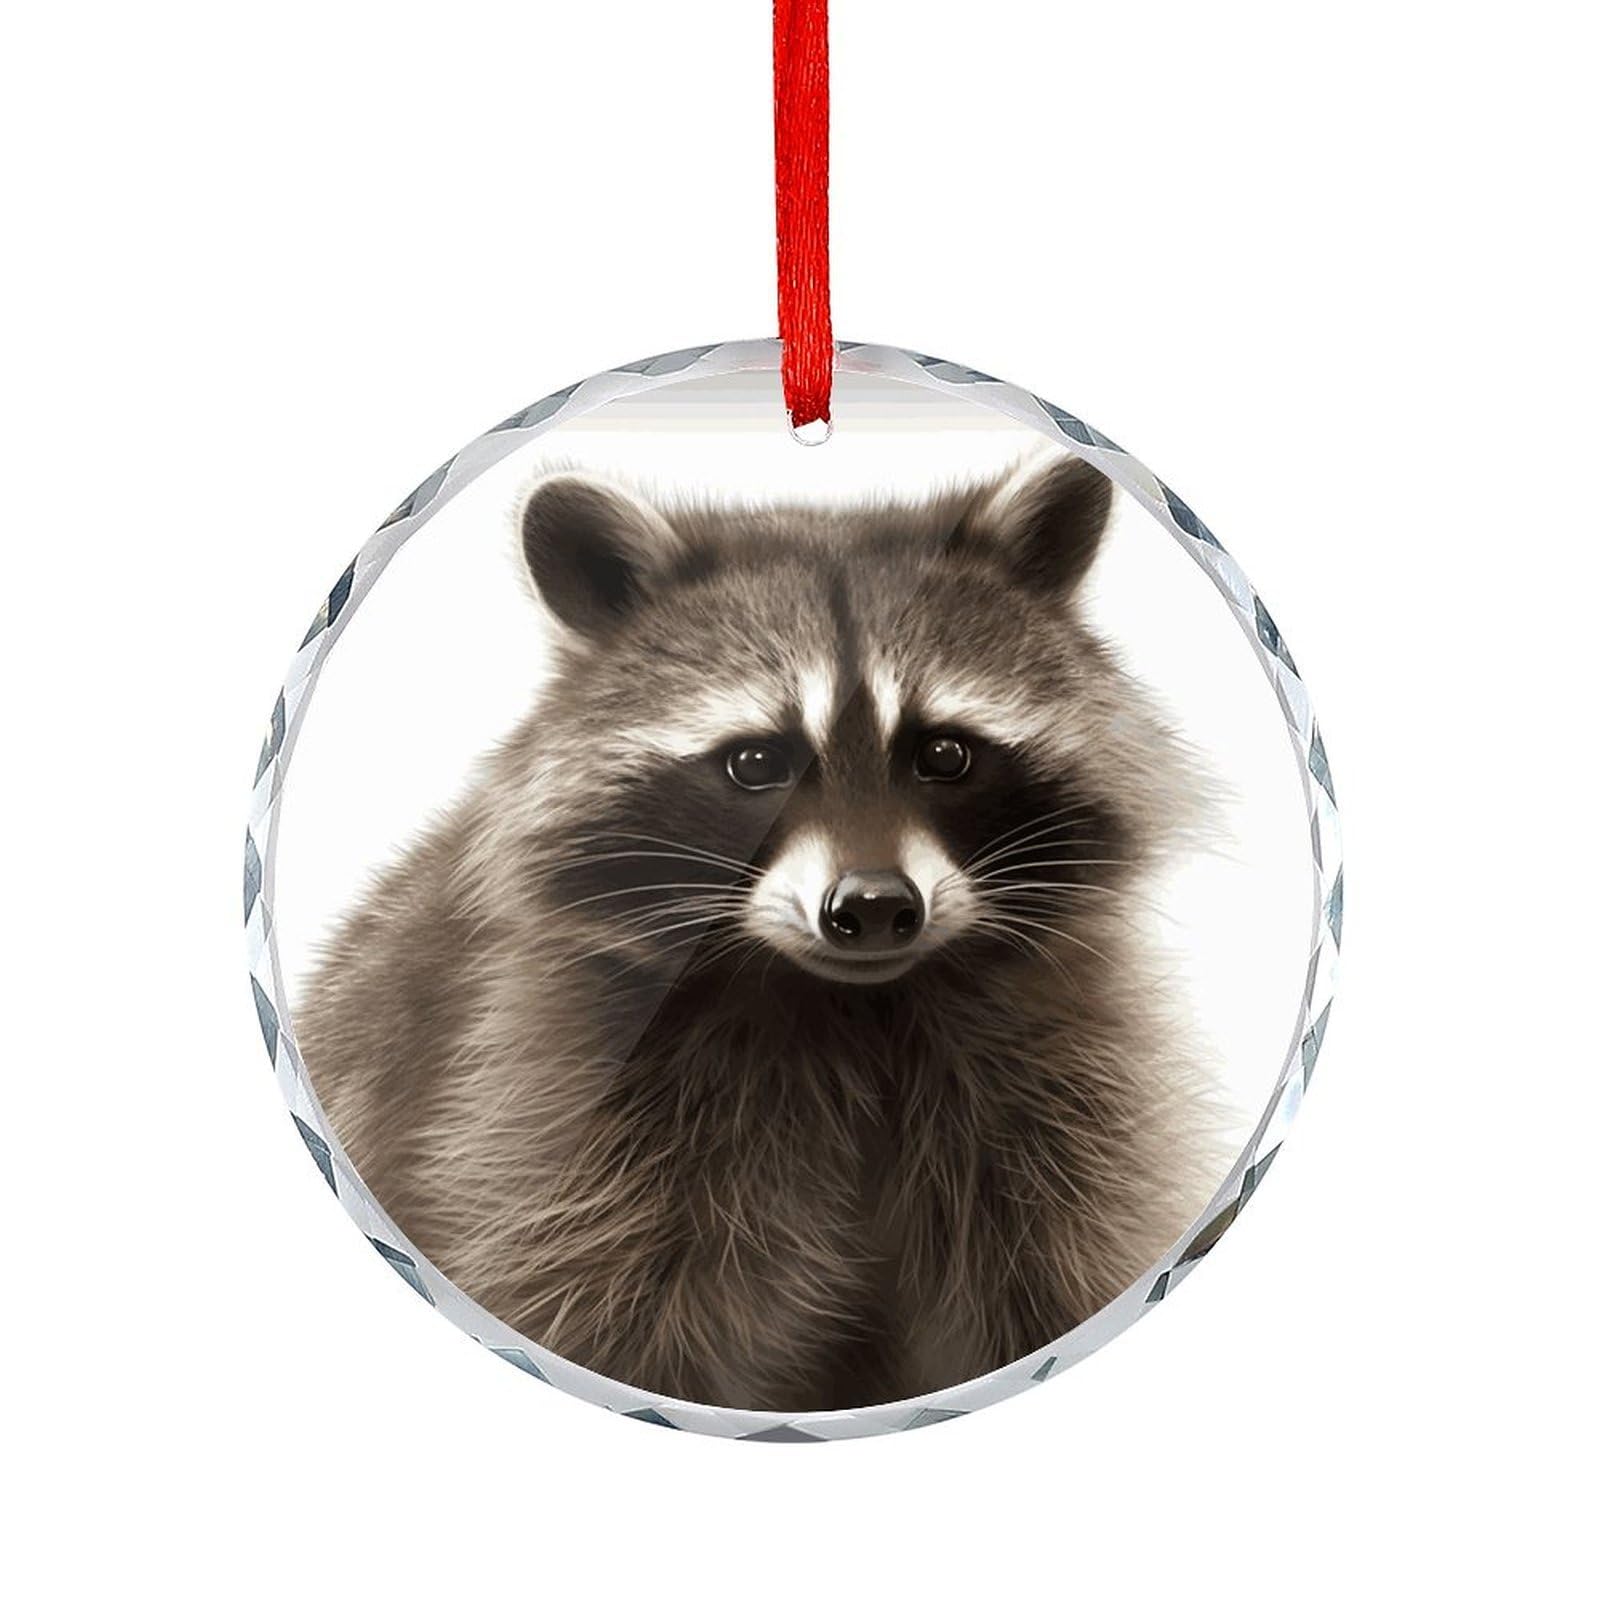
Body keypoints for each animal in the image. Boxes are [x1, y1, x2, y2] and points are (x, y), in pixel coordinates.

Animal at [298, 452, 1219, 1411]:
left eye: (944, 754)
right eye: (755, 762)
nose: (874, 906)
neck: (856, 1007)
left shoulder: (1058, 1078)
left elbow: (1066, 1267)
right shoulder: (544, 1092)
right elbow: (587, 1304)